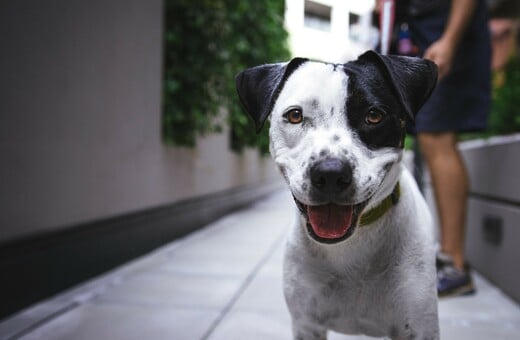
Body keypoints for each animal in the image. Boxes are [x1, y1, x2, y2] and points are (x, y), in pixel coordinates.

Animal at [236, 51, 438, 340]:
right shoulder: (307, 324)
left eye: (374, 116)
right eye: (295, 115)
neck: (352, 246)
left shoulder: (419, 327)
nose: (330, 173)